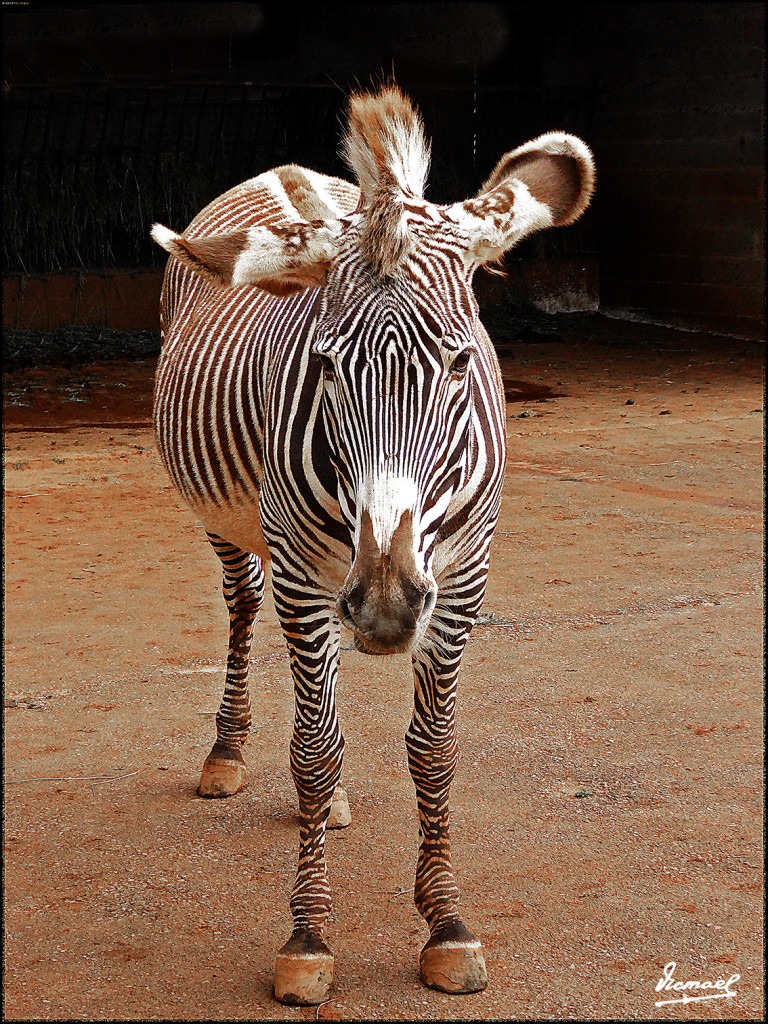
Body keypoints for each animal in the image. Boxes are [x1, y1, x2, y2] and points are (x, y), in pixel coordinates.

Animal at [150, 83, 593, 1003]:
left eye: (459, 365)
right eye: (323, 367)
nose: (386, 605)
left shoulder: (462, 578)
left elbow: (434, 749)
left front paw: (447, 925)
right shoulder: (304, 569)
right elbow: (315, 751)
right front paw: (309, 936)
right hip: (242, 535)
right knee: (244, 609)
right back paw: (229, 752)